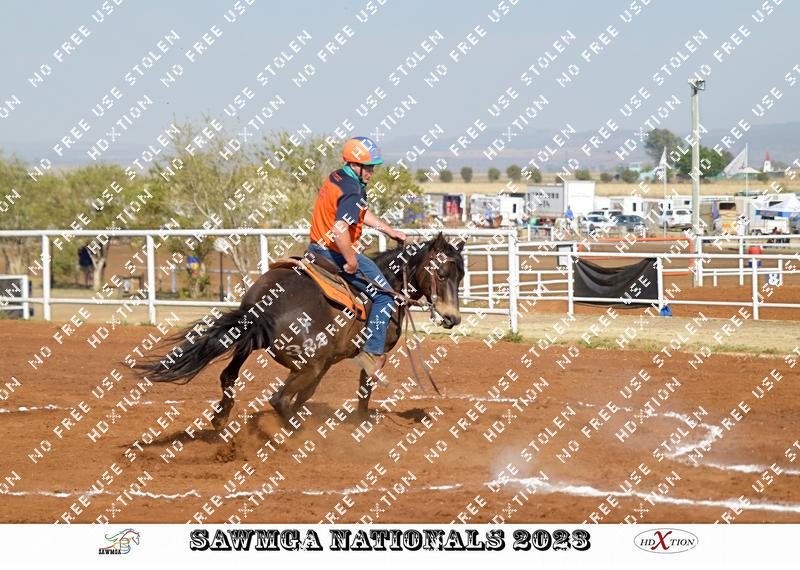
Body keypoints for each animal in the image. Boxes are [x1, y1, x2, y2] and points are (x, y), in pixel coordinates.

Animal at [136, 232, 465, 429]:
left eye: (461, 276)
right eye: (441, 273)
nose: (453, 318)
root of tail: (263, 305)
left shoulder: (328, 360)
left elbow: (309, 394)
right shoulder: (360, 357)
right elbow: (363, 389)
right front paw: (361, 423)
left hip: (252, 344)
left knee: (229, 376)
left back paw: (221, 419)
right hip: (307, 362)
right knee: (278, 399)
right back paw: (296, 433)